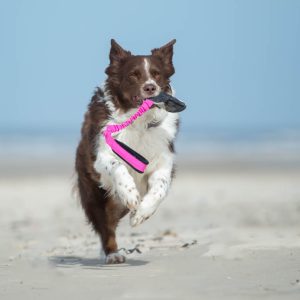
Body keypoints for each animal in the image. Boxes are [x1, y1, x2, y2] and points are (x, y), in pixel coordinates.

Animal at [76, 38, 180, 264]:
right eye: (134, 74)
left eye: (157, 74)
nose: (150, 87)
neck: (139, 121)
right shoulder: (100, 156)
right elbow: (118, 166)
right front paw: (130, 194)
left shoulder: (164, 161)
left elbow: (160, 188)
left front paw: (141, 213)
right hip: (95, 194)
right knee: (106, 226)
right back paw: (112, 253)